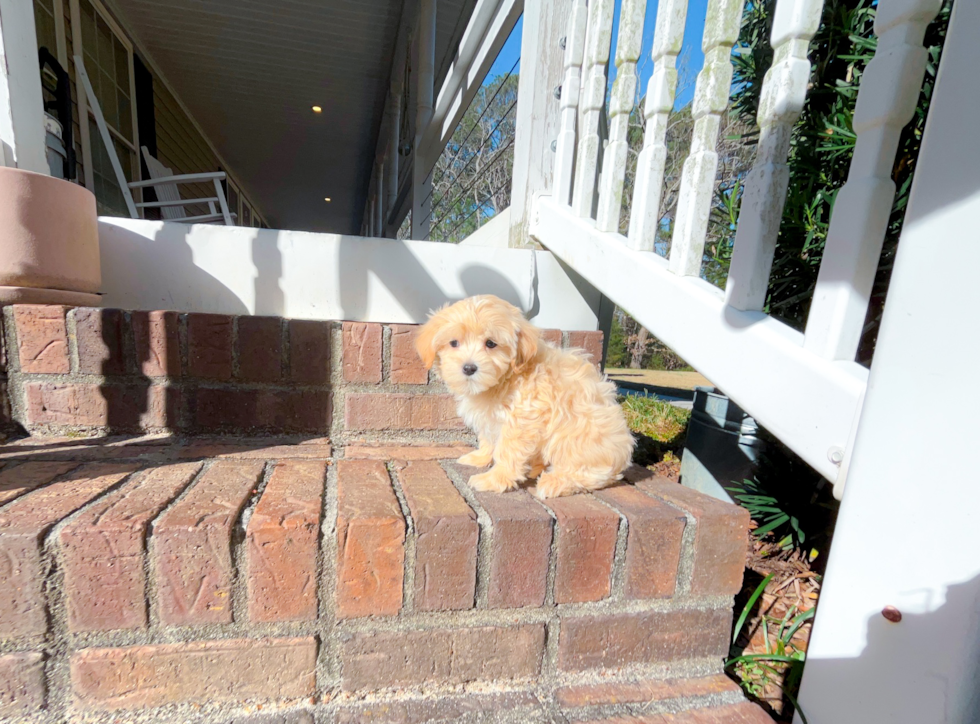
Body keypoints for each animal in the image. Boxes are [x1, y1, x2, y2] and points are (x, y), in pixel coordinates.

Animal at [416, 294, 636, 498]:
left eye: (491, 343)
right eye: (454, 343)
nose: (469, 368)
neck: (507, 377)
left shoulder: (522, 420)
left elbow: (507, 451)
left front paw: (494, 479)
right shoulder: (491, 418)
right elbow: (488, 440)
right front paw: (479, 458)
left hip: (576, 437)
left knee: (590, 473)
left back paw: (554, 481)